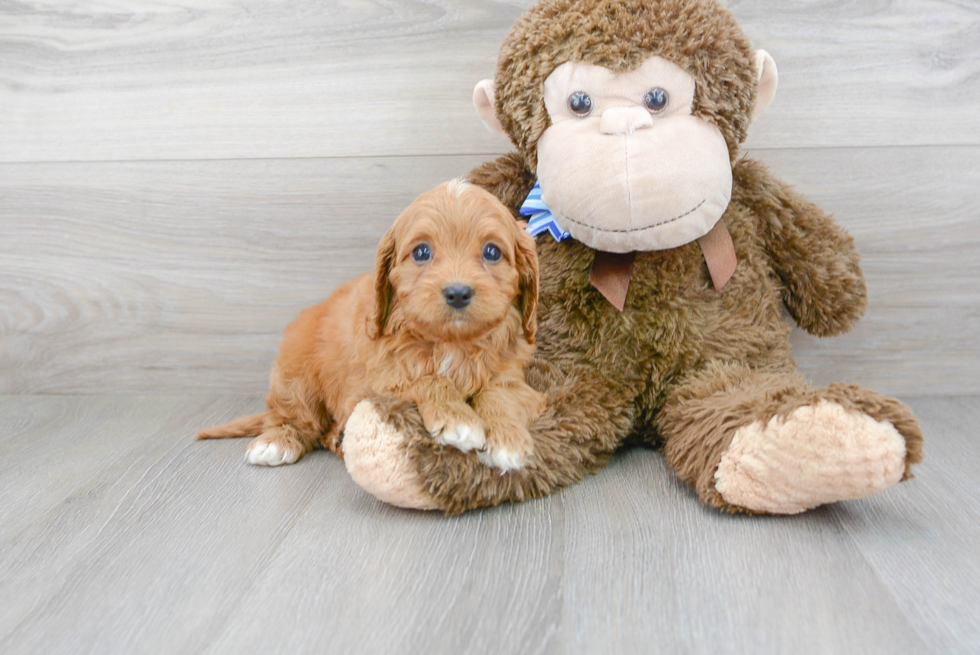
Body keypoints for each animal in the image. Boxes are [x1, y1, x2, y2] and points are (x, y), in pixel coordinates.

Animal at [197, 181, 544, 472]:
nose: (458, 292)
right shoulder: (373, 381)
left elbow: (499, 395)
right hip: (295, 376)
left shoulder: (514, 378)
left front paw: (508, 439)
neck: (450, 343)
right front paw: (457, 418)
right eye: (422, 252)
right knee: (294, 418)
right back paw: (276, 442)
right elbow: (422, 378)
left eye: (492, 252)